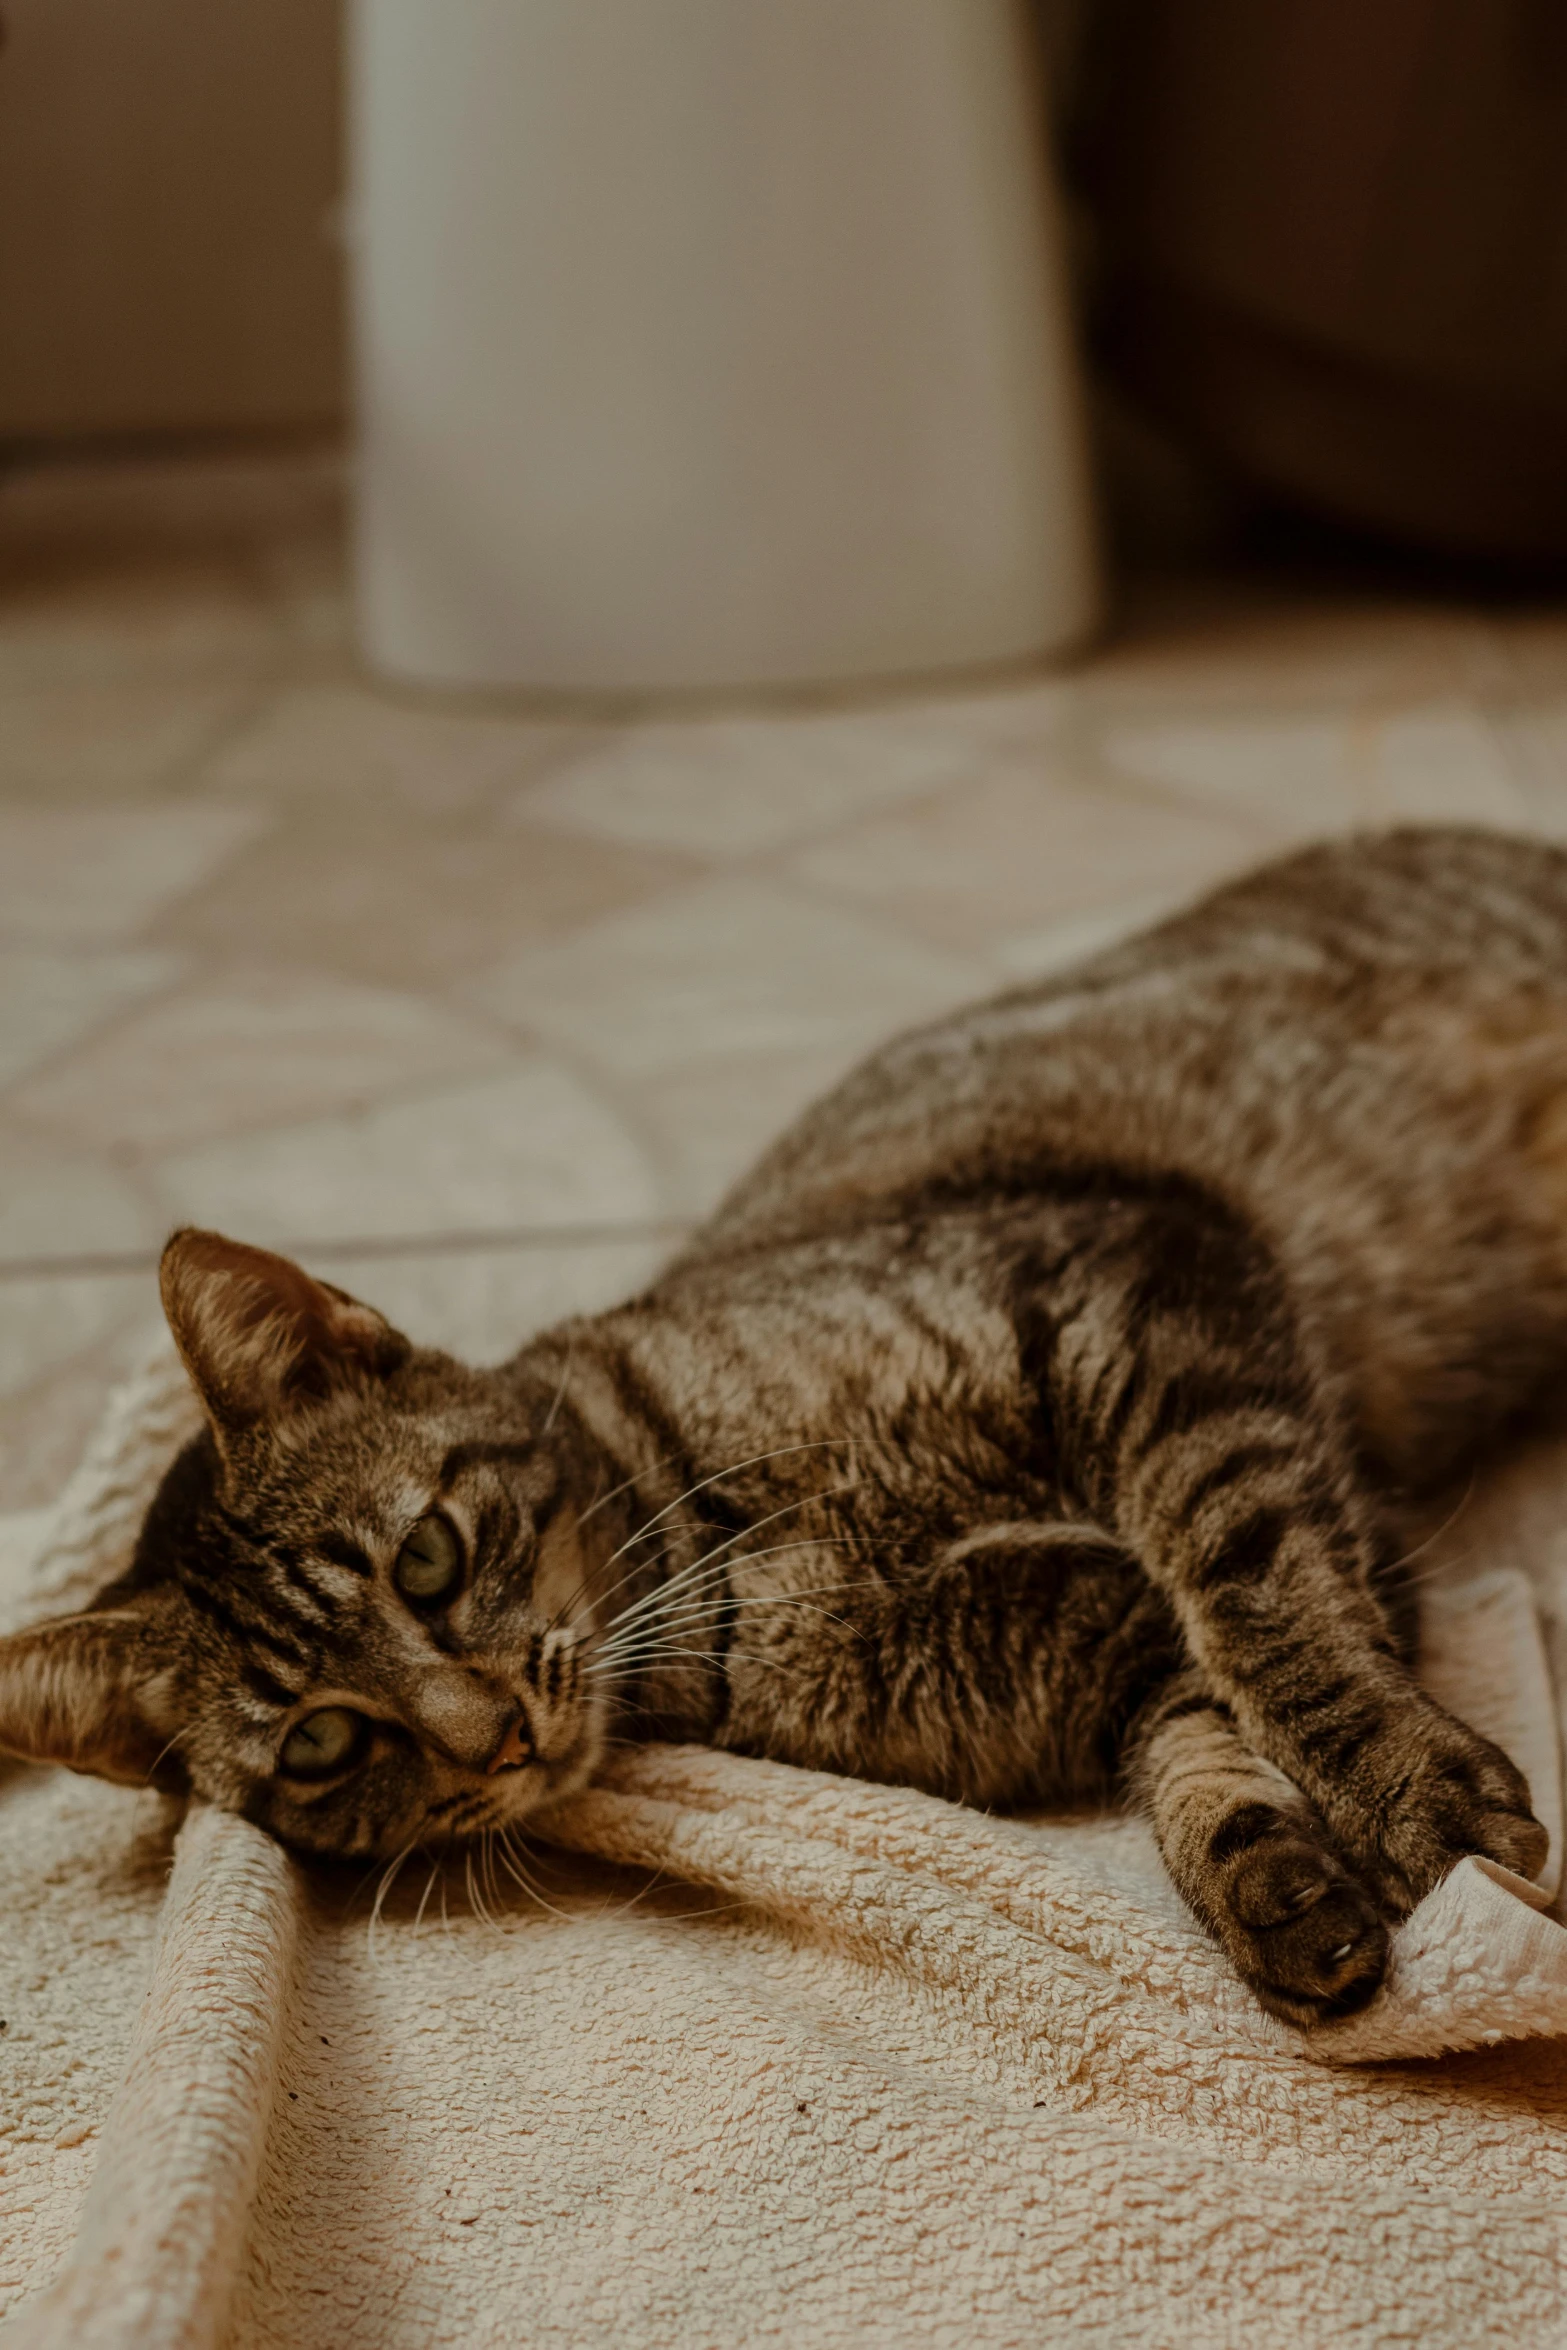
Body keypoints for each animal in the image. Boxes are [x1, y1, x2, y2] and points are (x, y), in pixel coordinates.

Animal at [0, 827, 1559, 2020]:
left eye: (426, 1560)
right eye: (322, 1743)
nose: (493, 1739)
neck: (710, 1529)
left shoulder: (1142, 1282)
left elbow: (1259, 1598)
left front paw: (1413, 1799)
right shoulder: (1088, 1640)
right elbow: (1193, 1737)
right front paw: (1272, 1886)